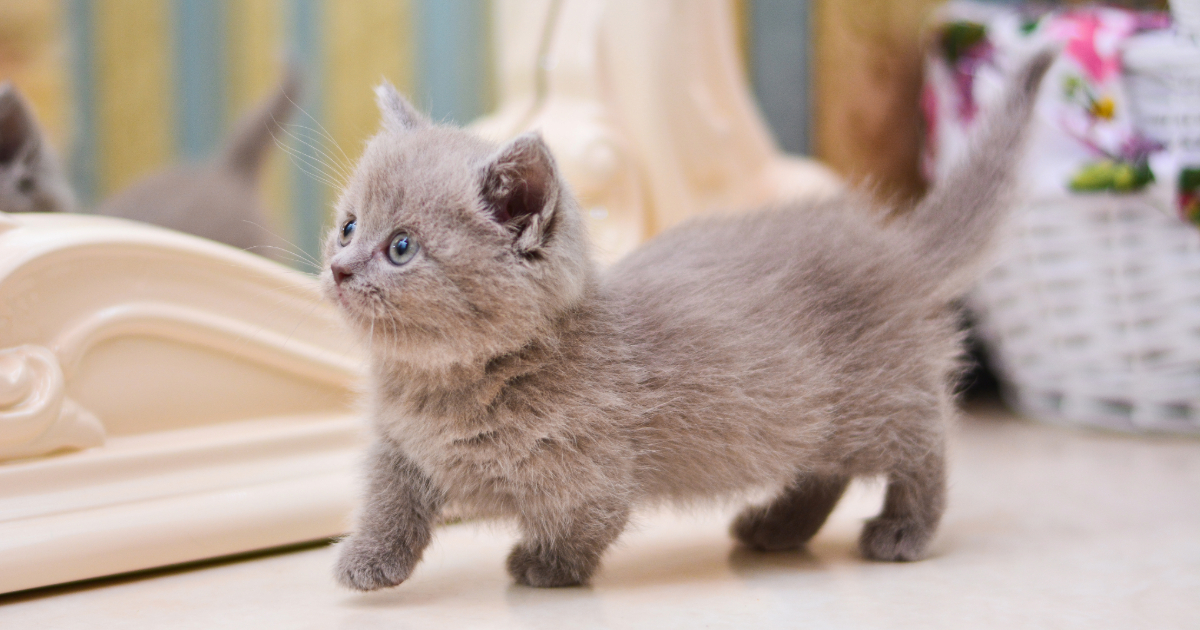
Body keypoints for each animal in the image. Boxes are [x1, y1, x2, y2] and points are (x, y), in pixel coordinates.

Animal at [324, 51, 1056, 588]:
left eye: (401, 248)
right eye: (349, 226)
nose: (338, 268)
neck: (445, 384)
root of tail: (895, 247)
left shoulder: (594, 471)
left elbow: (586, 523)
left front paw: (545, 568)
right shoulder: (399, 450)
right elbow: (389, 502)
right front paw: (369, 561)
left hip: (873, 399)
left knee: (926, 440)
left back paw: (905, 529)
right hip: (804, 409)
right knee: (824, 468)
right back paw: (777, 526)